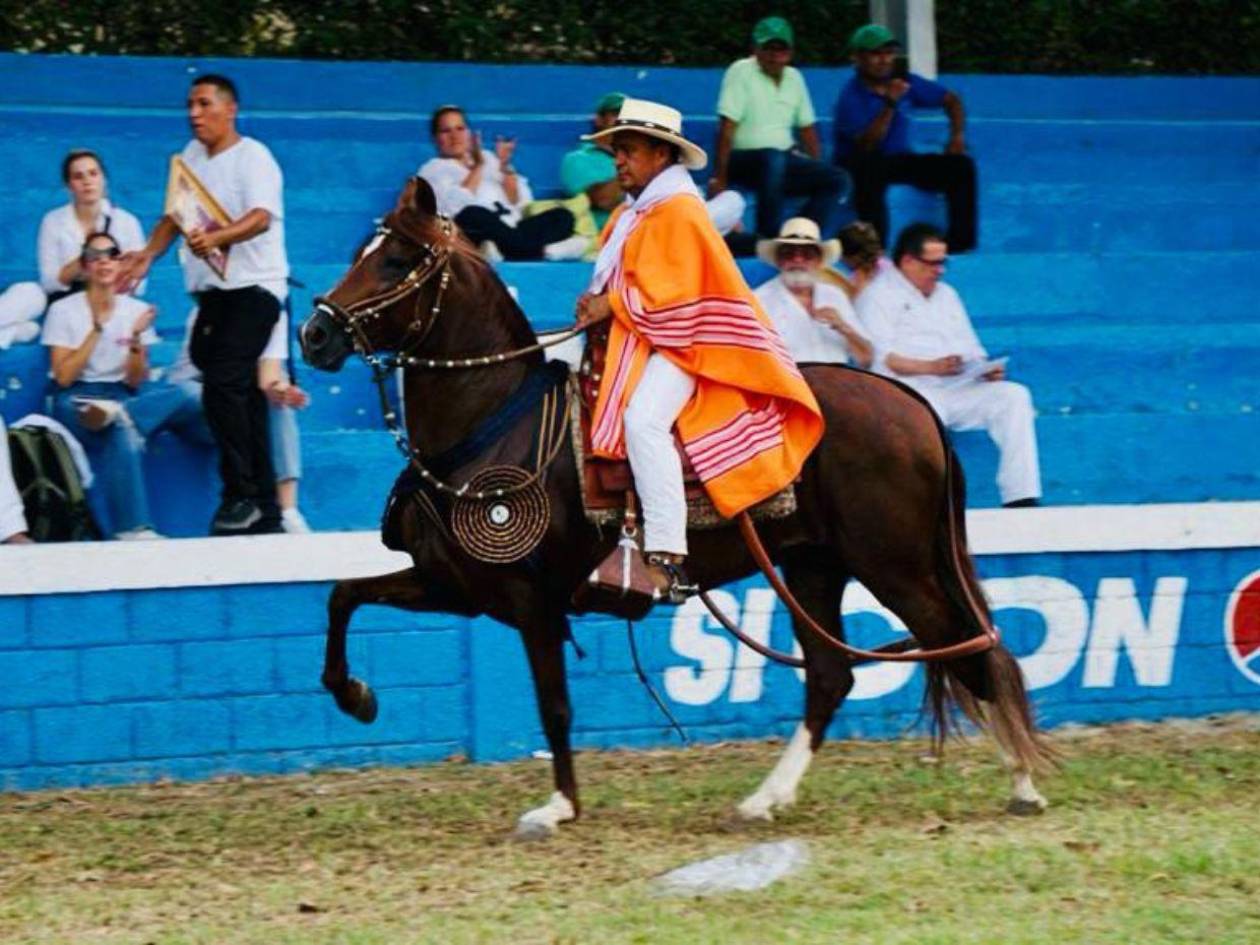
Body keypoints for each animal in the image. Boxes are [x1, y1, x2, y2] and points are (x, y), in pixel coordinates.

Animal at [299, 178, 1048, 841]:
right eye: (361, 251)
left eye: (396, 260)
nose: (314, 333)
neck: (495, 421)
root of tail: (913, 403)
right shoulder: (455, 584)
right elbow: (343, 595)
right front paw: (353, 694)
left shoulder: (530, 599)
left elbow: (554, 703)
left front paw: (558, 808)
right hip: (813, 566)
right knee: (834, 673)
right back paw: (765, 799)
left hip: (895, 566)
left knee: (968, 645)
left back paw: (1022, 781)